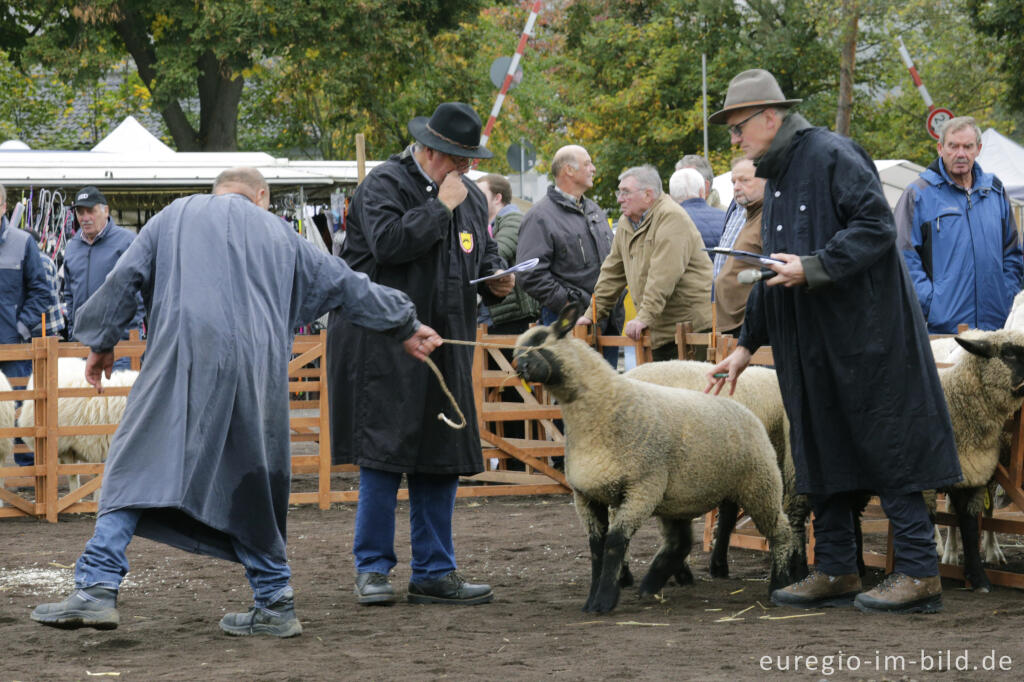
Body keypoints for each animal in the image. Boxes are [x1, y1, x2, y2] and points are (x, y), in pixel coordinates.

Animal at [516, 303, 794, 610]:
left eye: (541, 341)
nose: (519, 367)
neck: (605, 409)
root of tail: (745, 413)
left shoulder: (642, 488)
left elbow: (614, 542)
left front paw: (604, 599)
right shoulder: (587, 496)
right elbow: (597, 548)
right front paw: (593, 599)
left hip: (758, 482)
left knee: (779, 531)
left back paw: (778, 583)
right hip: (684, 494)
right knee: (681, 542)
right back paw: (654, 582)